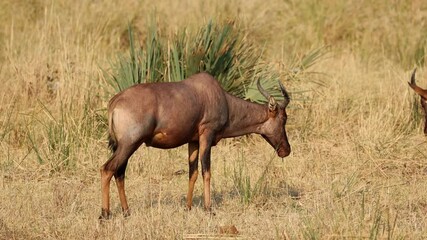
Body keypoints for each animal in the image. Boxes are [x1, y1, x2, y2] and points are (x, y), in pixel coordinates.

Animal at [102, 71, 292, 219]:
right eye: (284, 118)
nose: (286, 150)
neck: (219, 96)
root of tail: (114, 102)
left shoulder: (192, 141)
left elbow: (192, 173)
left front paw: (188, 207)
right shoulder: (206, 134)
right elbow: (206, 171)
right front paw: (209, 209)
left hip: (123, 146)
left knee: (119, 173)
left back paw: (126, 212)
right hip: (130, 144)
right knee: (107, 169)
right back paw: (105, 214)